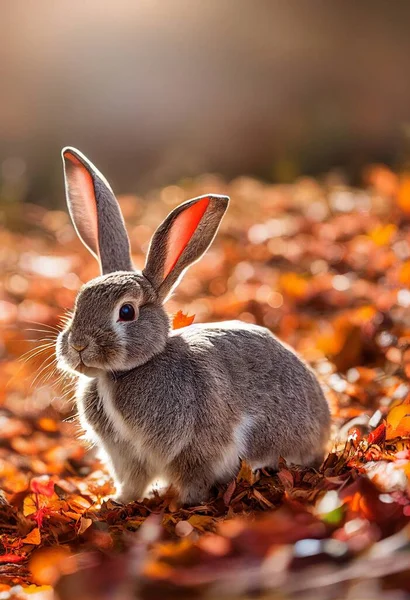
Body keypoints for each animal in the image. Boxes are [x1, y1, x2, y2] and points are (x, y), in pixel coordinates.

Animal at [56, 148, 332, 504]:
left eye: (127, 311)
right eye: (79, 301)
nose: (78, 344)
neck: (119, 375)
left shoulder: (198, 445)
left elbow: (194, 477)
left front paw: (181, 504)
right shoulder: (126, 455)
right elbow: (132, 482)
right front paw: (117, 501)